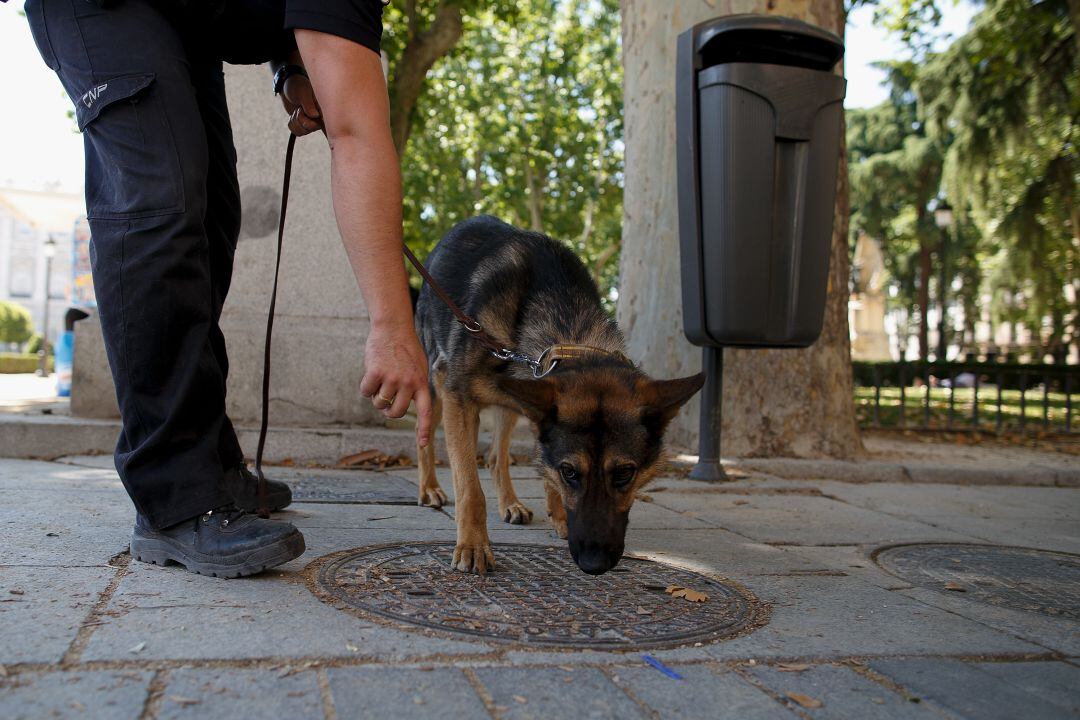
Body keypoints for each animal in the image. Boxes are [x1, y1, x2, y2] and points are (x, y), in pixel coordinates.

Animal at [410, 216, 699, 578]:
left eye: (625, 473)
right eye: (570, 472)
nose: (594, 563)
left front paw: (559, 516)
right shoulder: (457, 398)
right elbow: (470, 488)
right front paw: (474, 545)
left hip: (511, 403)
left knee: (495, 457)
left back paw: (510, 503)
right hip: (437, 385)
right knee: (424, 434)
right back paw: (428, 488)